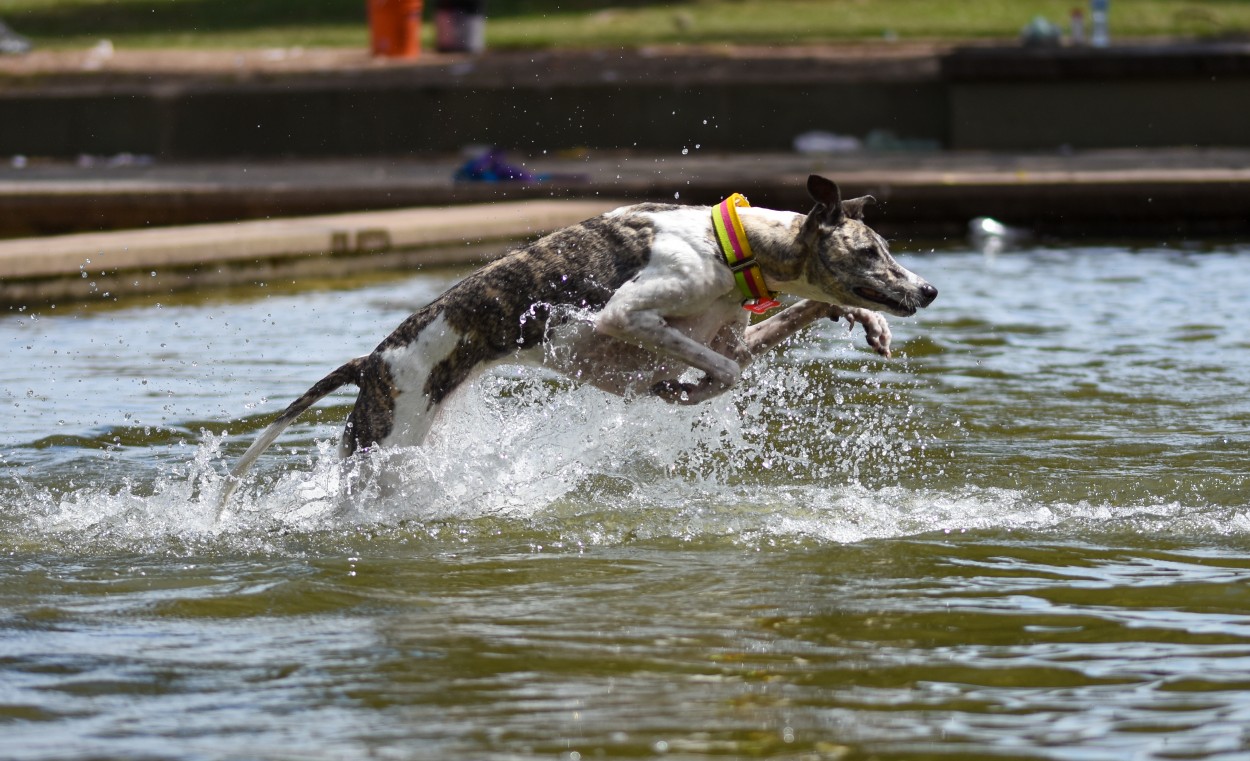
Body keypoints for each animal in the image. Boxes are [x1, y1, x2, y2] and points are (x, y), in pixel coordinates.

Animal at [217, 172, 940, 504]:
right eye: (871, 251)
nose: (929, 290)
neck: (730, 244)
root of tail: (371, 360)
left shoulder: (735, 332)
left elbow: (789, 322)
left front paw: (867, 323)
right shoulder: (628, 316)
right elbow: (720, 372)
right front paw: (683, 391)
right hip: (384, 459)